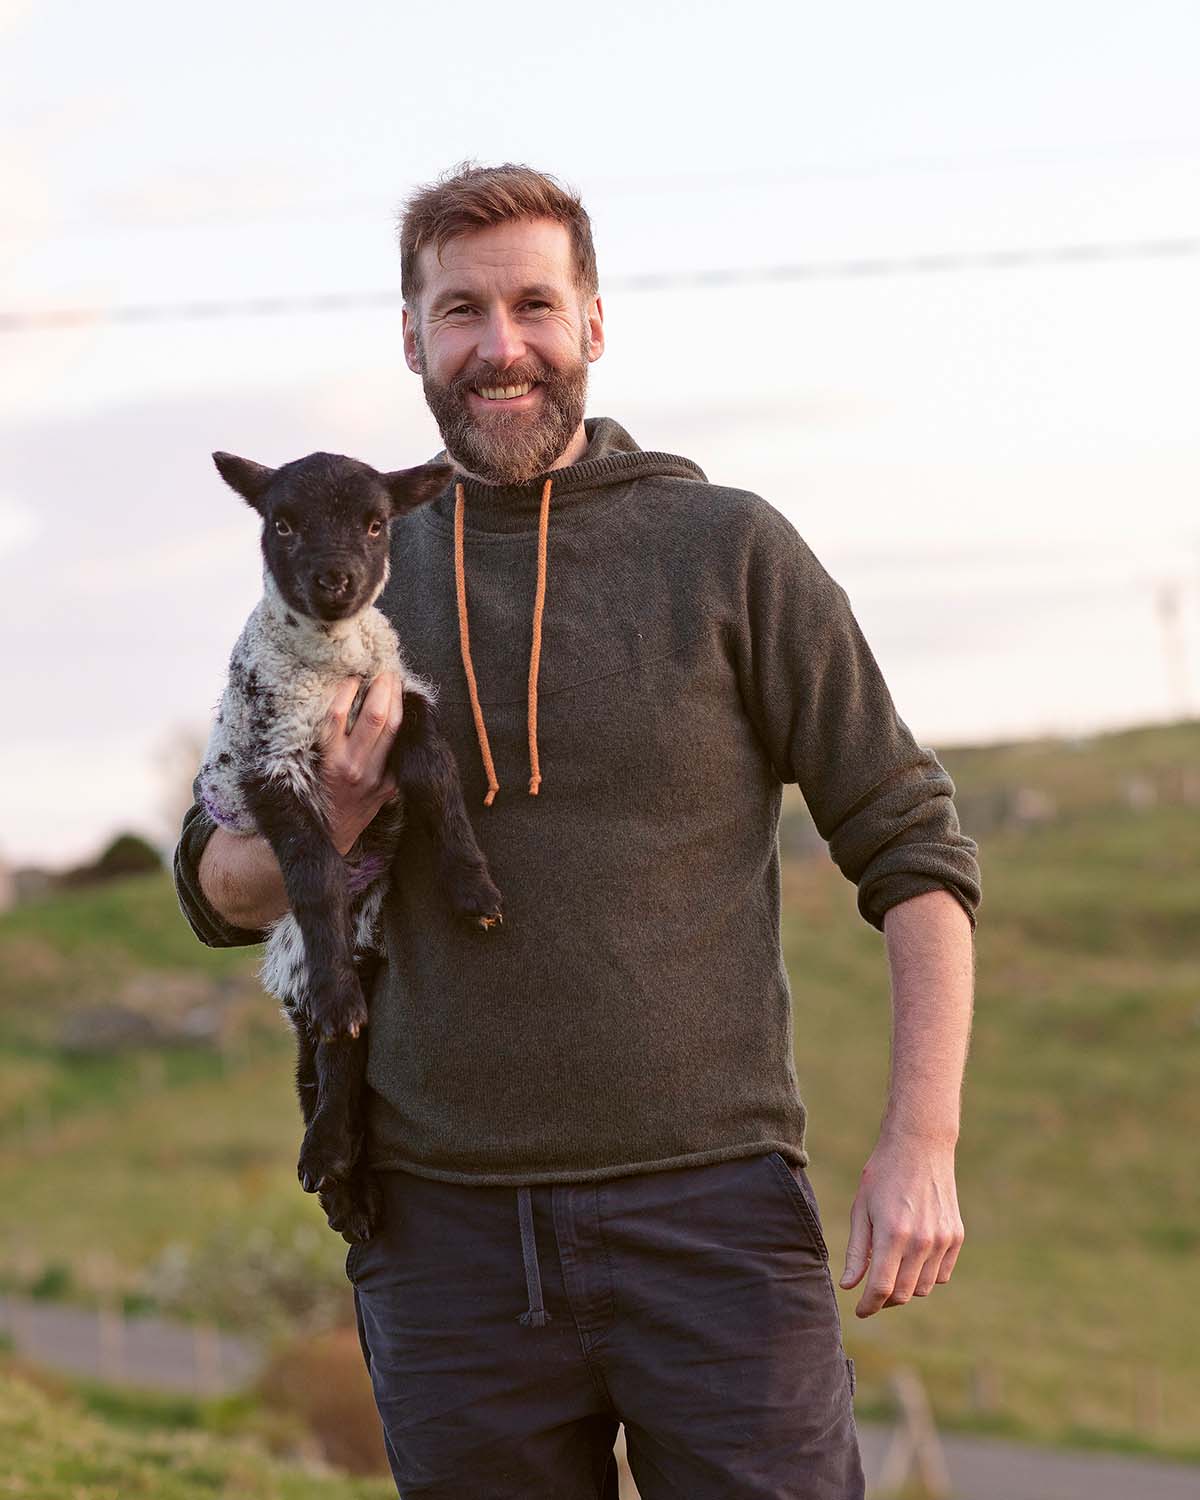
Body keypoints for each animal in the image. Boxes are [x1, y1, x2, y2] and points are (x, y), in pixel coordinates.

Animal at [195, 447, 501, 1242]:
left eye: (375, 523)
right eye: (282, 523)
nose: (335, 580)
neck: (335, 665)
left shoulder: (405, 702)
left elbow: (435, 775)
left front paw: (474, 890)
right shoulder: (273, 763)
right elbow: (312, 875)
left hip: (367, 936)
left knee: (341, 1060)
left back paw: (345, 1180)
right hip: (302, 951)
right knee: (328, 1041)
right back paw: (330, 1166)